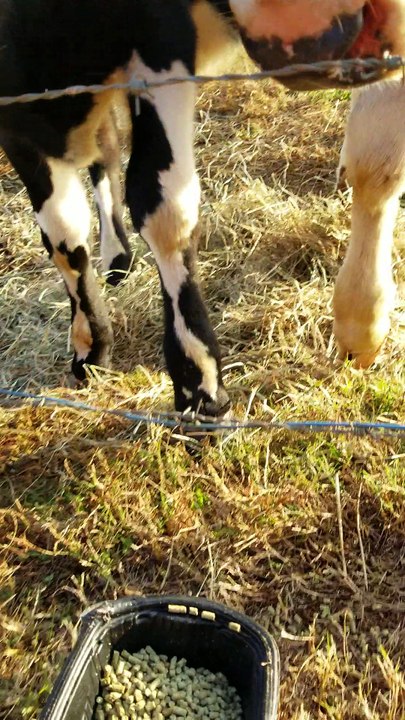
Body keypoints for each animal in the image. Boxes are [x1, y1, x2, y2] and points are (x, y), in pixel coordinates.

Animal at [0, 0, 403, 417]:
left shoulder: (161, 42)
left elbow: (164, 212)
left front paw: (199, 381)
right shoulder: (20, 120)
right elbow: (63, 235)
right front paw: (91, 346)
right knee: (106, 150)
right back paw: (115, 257)